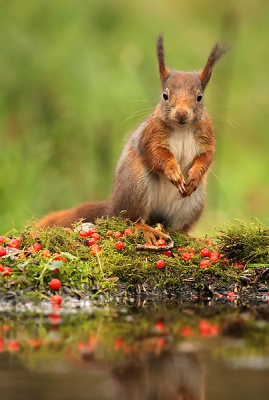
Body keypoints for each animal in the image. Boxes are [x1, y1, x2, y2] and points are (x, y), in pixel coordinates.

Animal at [37, 35, 226, 241]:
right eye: (165, 95)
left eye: (199, 97)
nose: (181, 114)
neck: (182, 128)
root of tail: (113, 206)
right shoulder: (150, 136)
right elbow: (155, 154)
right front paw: (172, 171)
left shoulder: (207, 137)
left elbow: (206, 157)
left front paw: (195, 175)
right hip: (136, 185)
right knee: (130, 219)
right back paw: (144, 228)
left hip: (193, 202)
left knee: (177, 229)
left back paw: (191, 237)